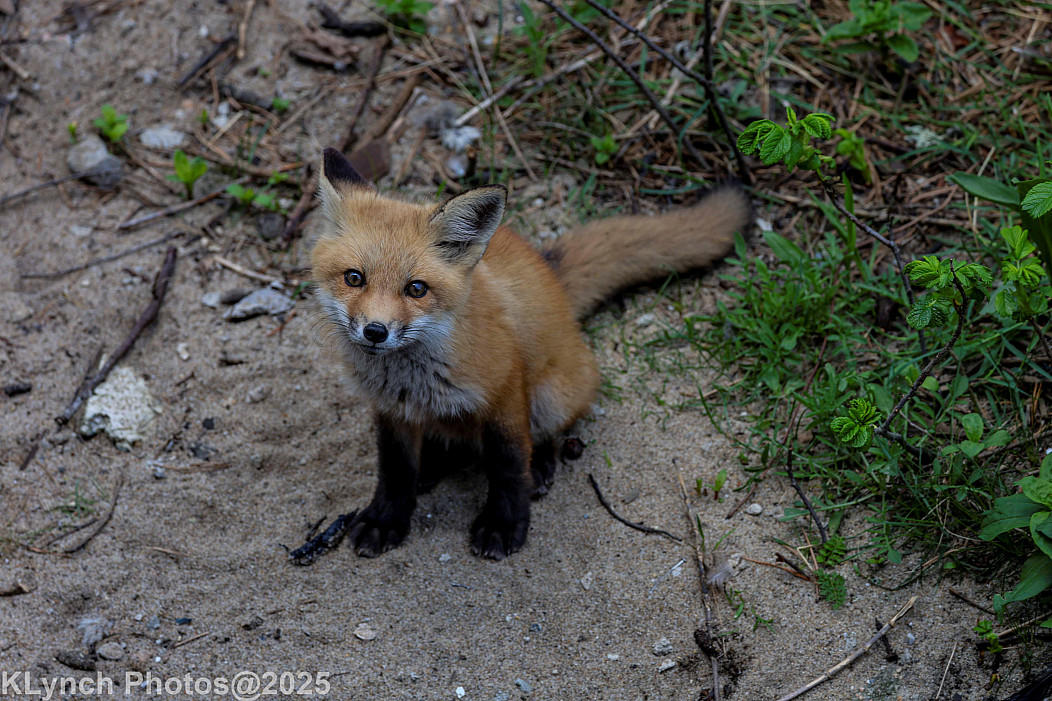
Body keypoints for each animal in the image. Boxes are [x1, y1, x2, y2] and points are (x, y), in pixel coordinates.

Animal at [310, 147, 751, 560]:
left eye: (416, 289)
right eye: (354, 278)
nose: (375, 331)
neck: (413, 377)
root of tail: (551, 276)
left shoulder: (504, 393)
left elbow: (507, 466)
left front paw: (504, 523)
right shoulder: (390, 409)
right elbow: (396, 469)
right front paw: (386, 518)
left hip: (550, 396)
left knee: (543, 435)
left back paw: (538, 464)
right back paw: (434, 463)